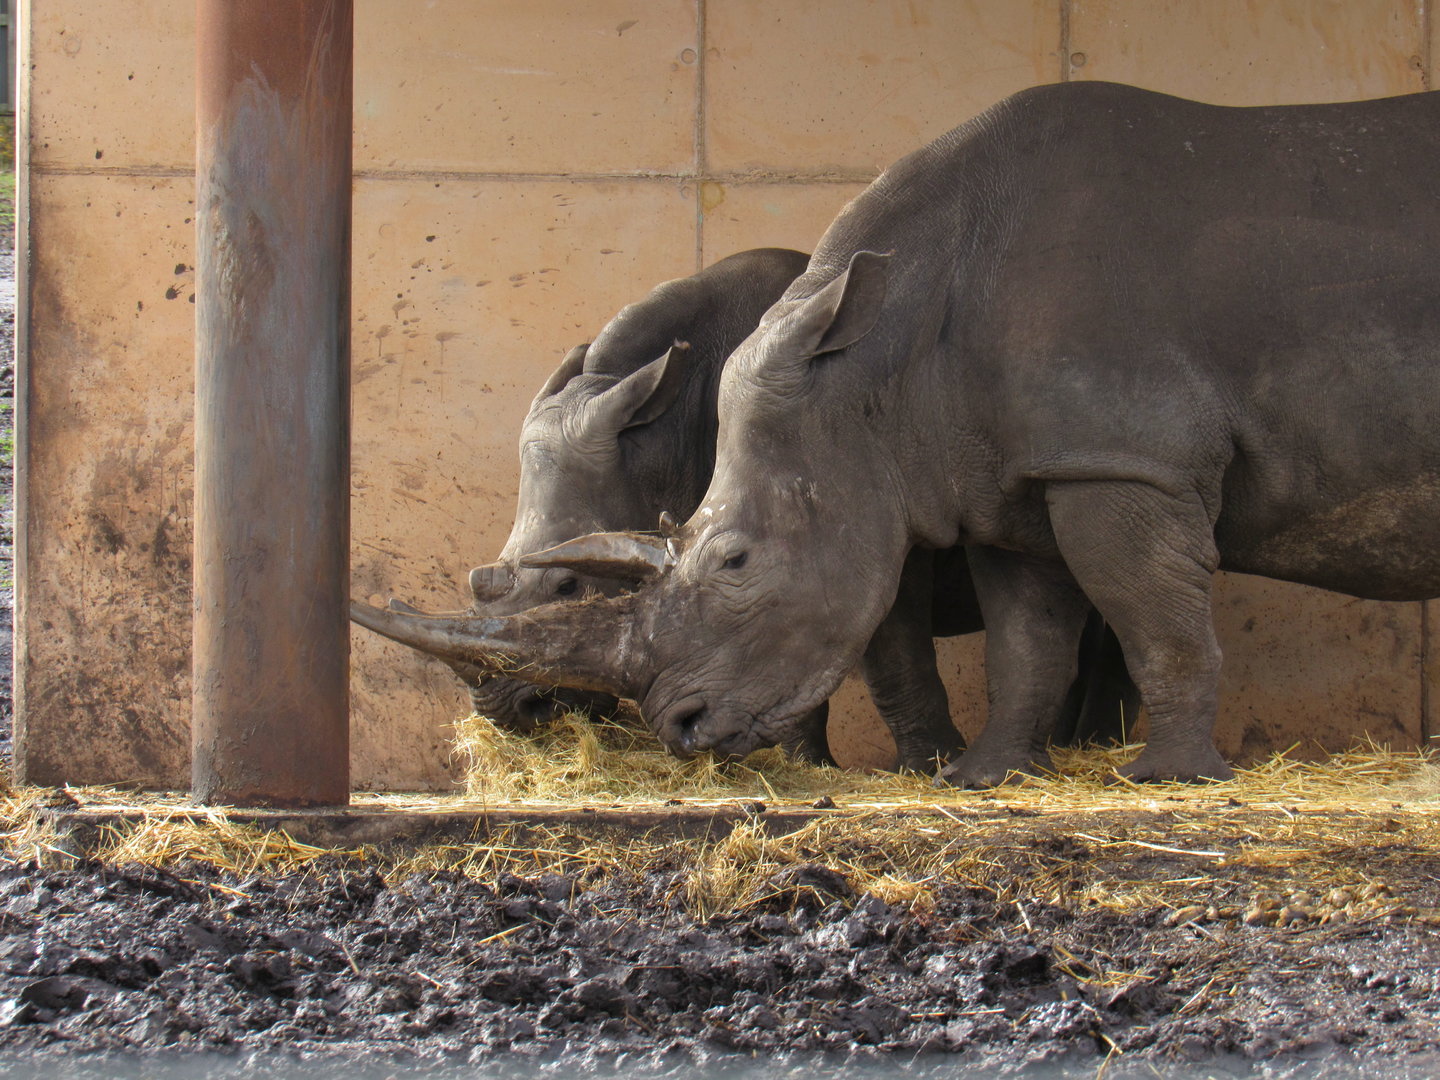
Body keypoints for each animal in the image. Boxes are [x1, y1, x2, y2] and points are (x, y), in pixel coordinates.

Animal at [360, 80, 1440, 787]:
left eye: (574, 586)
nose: (679, 726)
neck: (871, 363)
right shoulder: (1007, 471)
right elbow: (1022, 634)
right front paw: (982, 779)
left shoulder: (1113, 461)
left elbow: (1131, 618)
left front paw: (1155, 784)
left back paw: (1117, 760)